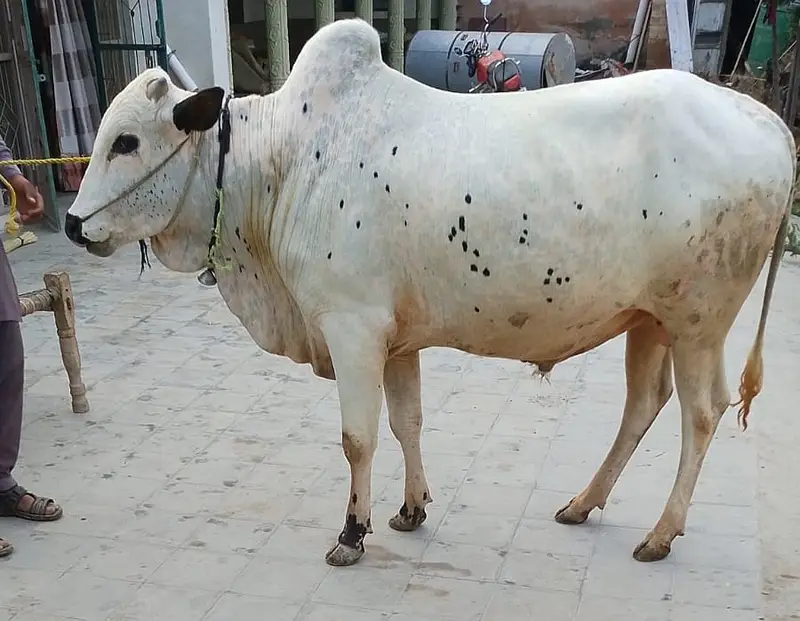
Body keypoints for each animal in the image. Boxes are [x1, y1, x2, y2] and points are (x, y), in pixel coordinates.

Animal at [64, 18, 795, 567]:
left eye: (126, 141)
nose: (72, 223)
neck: (281, 162)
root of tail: (769, 122)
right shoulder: (395, 340)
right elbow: (406, 422)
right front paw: (410, 509)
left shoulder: (351, 328)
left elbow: (358, 438)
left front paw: (351, 533)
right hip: (648, 318)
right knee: (643, 405)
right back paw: (584, 503)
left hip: (698, 321)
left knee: (701, 413)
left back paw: (661, 533)